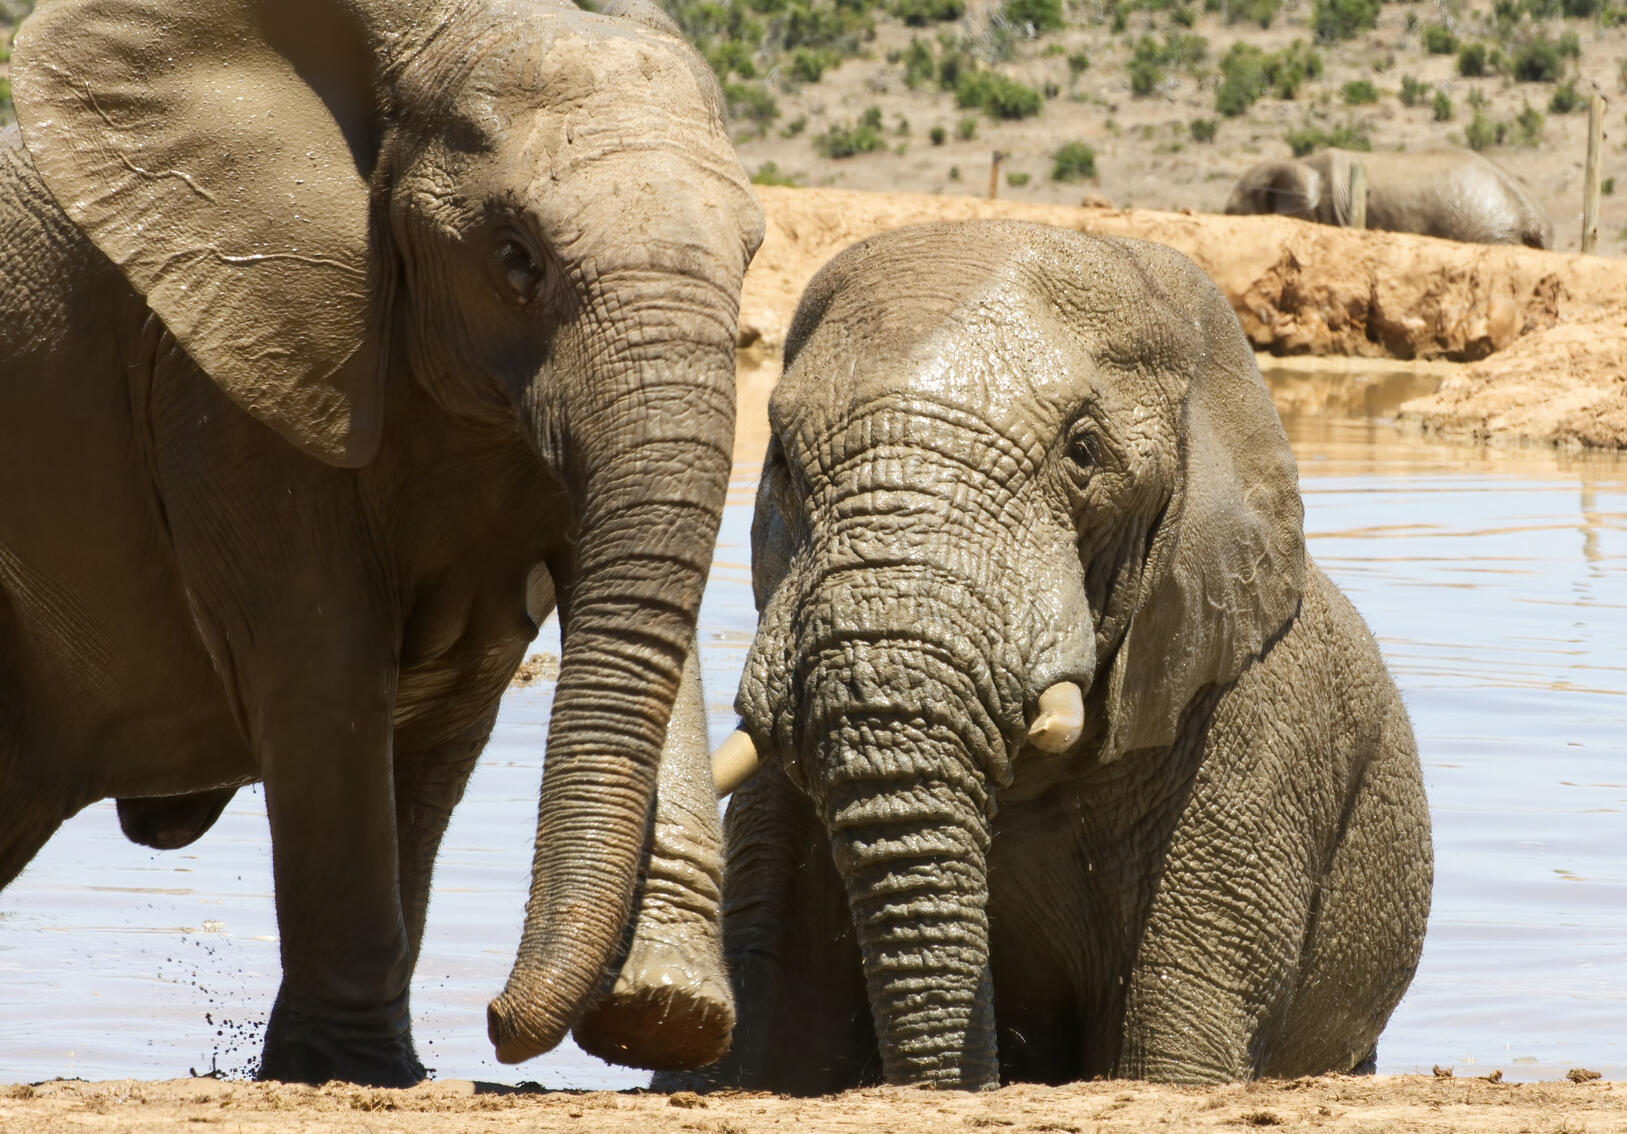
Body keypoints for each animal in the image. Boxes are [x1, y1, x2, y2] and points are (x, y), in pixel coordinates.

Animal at [0, 0, 762, 1087]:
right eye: (516, 257)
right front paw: (351, 1069)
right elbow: (327, 668)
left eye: (752, 252)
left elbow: (455, 699)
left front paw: (663, 1013)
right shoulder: (228, 374)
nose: (496, 1020)